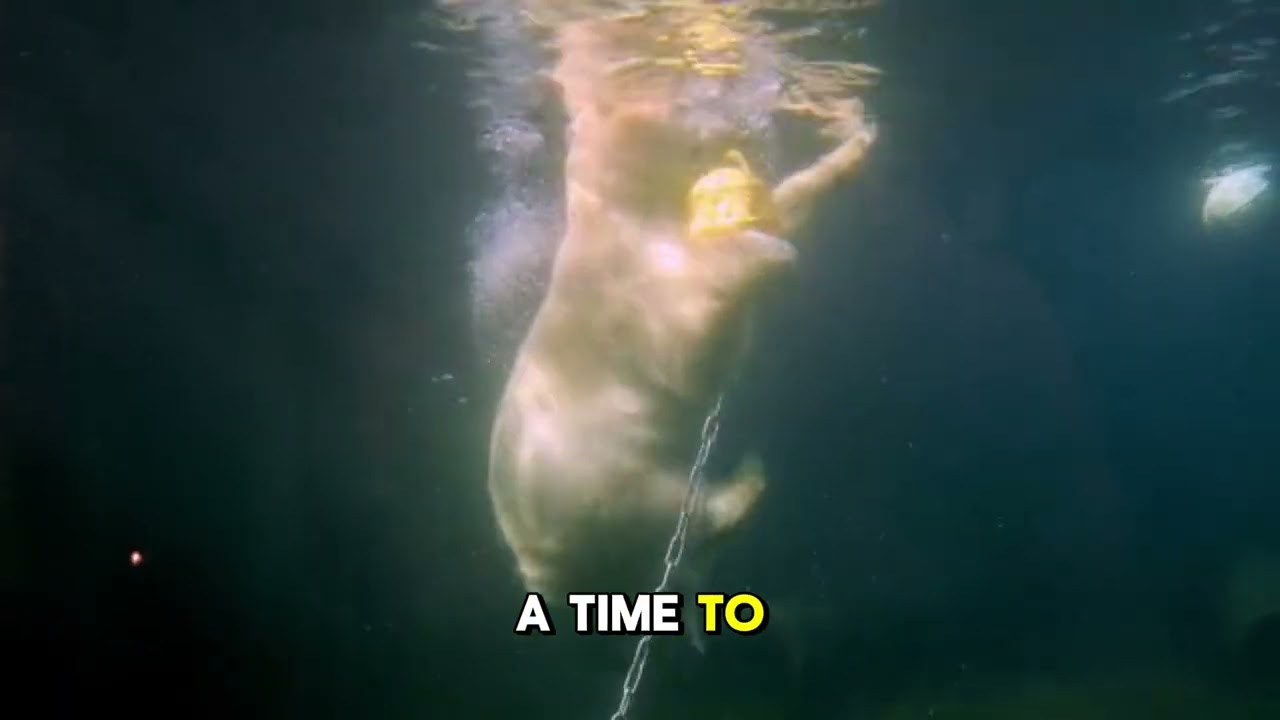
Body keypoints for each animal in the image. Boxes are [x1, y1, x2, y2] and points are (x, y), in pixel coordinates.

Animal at [486, 14, 877, 623]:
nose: (733, 90)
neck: (618, 206)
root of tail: (536, 563)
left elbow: (781, 206)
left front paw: (854, 144)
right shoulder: (637, 281)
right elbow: (689, 337)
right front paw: (771, 255)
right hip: (593, 476)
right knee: (666, 504)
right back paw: (743, 486)